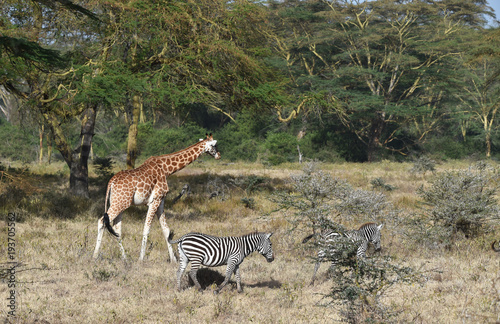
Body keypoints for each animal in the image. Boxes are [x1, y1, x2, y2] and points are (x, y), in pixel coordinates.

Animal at [93, 133, 220, 262]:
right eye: (214, 145)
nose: (218, 155)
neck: (166, 169)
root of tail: (111, 182)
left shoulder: (161, 200)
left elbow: (166, 230)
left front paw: (173, 260)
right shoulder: (155, 200)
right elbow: (146, 229)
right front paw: (141, 259)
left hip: (120, 203)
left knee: (116, 228)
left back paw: (125, 258)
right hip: (119, 203)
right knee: (102, 221)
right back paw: (95, 255)